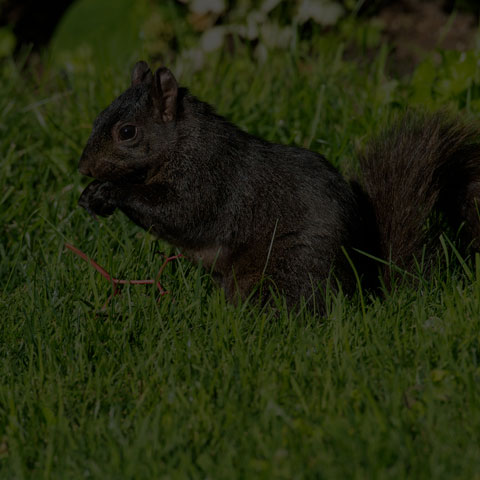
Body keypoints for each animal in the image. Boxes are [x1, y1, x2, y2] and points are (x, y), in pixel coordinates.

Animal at [77, 61, 480, 312]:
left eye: (127, 132)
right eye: (97, 117)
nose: (82, 167)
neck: (182, 142)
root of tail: (363, 289)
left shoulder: (208, 179)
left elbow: (179, 214)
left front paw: (110, 190)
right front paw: (90, 194)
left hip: (286, 269)